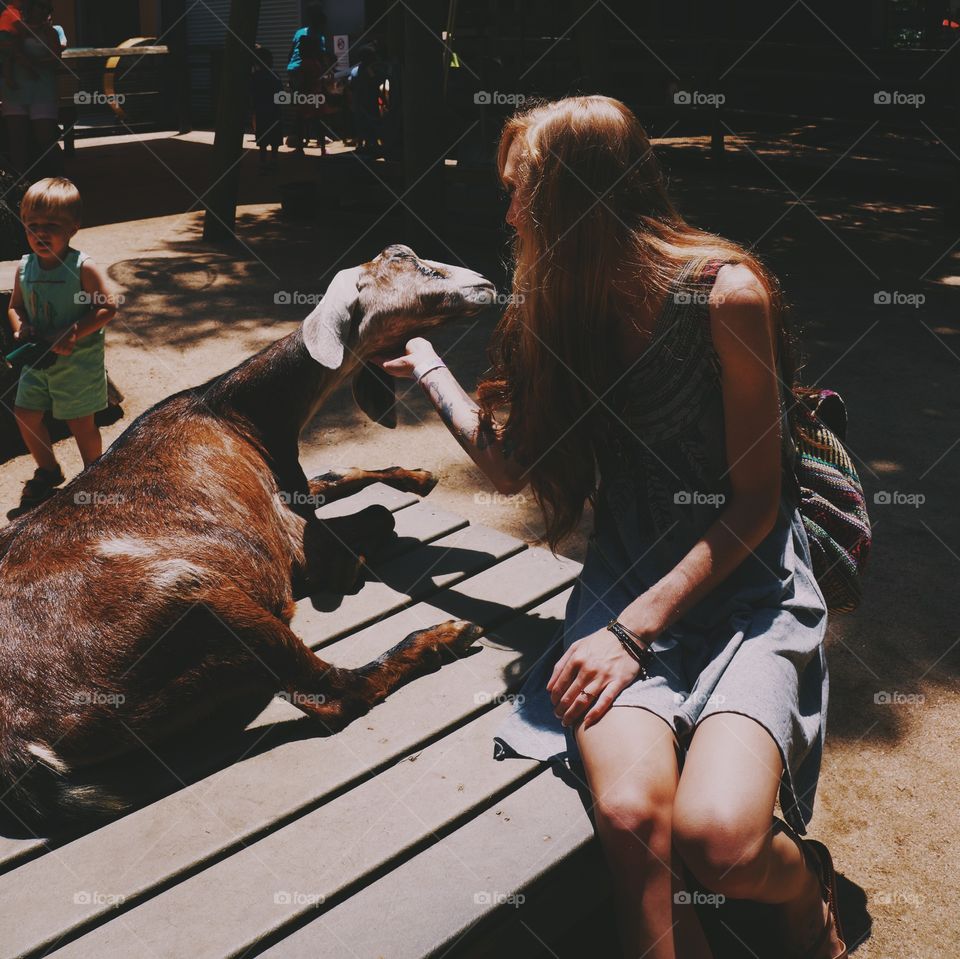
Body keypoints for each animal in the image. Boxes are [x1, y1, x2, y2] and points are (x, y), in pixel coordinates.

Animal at [0, 244, 496, 820]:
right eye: (409, 261)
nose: (488, 284)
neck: (236, 413)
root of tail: (21, 747)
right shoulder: (297, 543)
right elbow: (375, 517)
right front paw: (356, 563)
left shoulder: (293, 487)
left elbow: (339, 474)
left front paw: (417, 475)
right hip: (199, 596)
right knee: (333, 696)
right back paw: (445, 635)